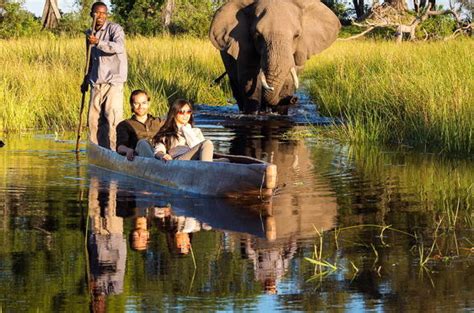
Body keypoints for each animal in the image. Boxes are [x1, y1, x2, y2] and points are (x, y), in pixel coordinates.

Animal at [211, 0, 340, 114]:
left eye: (296, 36)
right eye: (258, 35)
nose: (294, 99)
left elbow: (288, 80)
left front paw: (279, 112)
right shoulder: (243, 45)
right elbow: (248, 79)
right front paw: (253, 114)